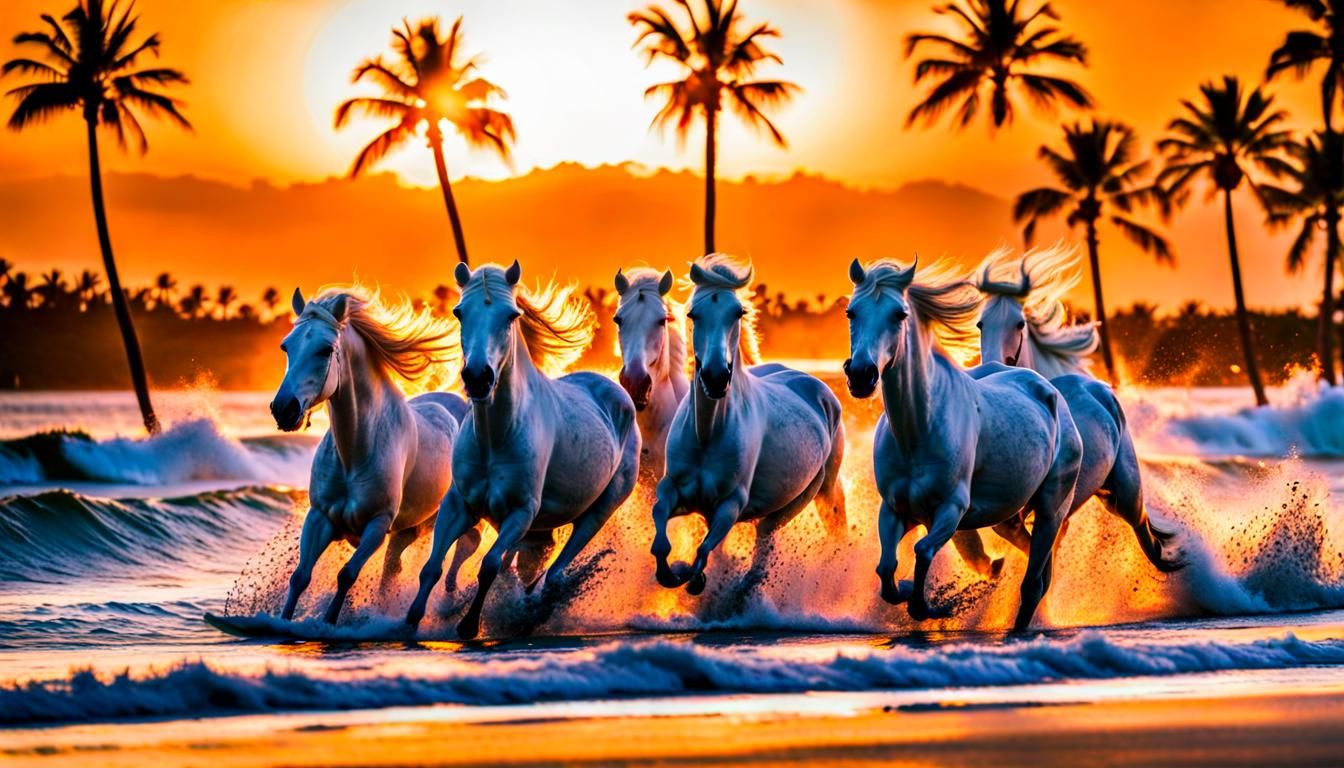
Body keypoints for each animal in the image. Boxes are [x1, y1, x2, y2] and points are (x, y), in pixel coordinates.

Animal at [270, 285, 479, 624]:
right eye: (286, 346)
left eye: (325, 350)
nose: (283, 409)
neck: (356, 452)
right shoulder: (319, 518)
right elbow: (300, 577)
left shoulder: (376, 526)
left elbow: (346, 575)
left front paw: (330, 623)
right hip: (410, 529)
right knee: (393, 567)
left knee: (465, 546)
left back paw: (451, 598)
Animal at [406, 261, 641, 639]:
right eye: (459, 312)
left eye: (511, 315)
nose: (478, 378)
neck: (495, 439)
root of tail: (618, 394)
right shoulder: (458, 504)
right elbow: (432, 567)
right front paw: (410, 621)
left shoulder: (520, 513)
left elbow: (489, 565)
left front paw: (469, 625)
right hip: (540, 529)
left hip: (598, 512)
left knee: (556, 572)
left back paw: (532, 611)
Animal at [650, 254, 846, 597]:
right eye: (693, 313)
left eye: (737, 312)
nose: (716, 377)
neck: (707, 434)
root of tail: (819, 390)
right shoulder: (673, 488)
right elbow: (660, 525)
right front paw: (671, 573)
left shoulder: (729, 505)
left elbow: (704, 549)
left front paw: (694, 579)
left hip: (811, 495)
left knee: (767, 549)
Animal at [843, 257, 1083, 631]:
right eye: (851, 312)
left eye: (899, 314)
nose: (861, 375)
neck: (917, 432)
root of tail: (1048, 390)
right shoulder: (894, 510)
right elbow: (886, 571)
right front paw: (910, 590)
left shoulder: (951, 510)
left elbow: (922, 552)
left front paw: (938, 605)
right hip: (1010, 517)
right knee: (1034, 565)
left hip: (1051, 509)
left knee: (1033, 583)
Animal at [972, 245, 1183, 572]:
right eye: (981, 323)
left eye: (1019, 323)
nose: (993, 363)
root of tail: (1100, 391)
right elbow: (1012, 531)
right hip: (1107, 496)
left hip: (1127, 493)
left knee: (1150, 538)